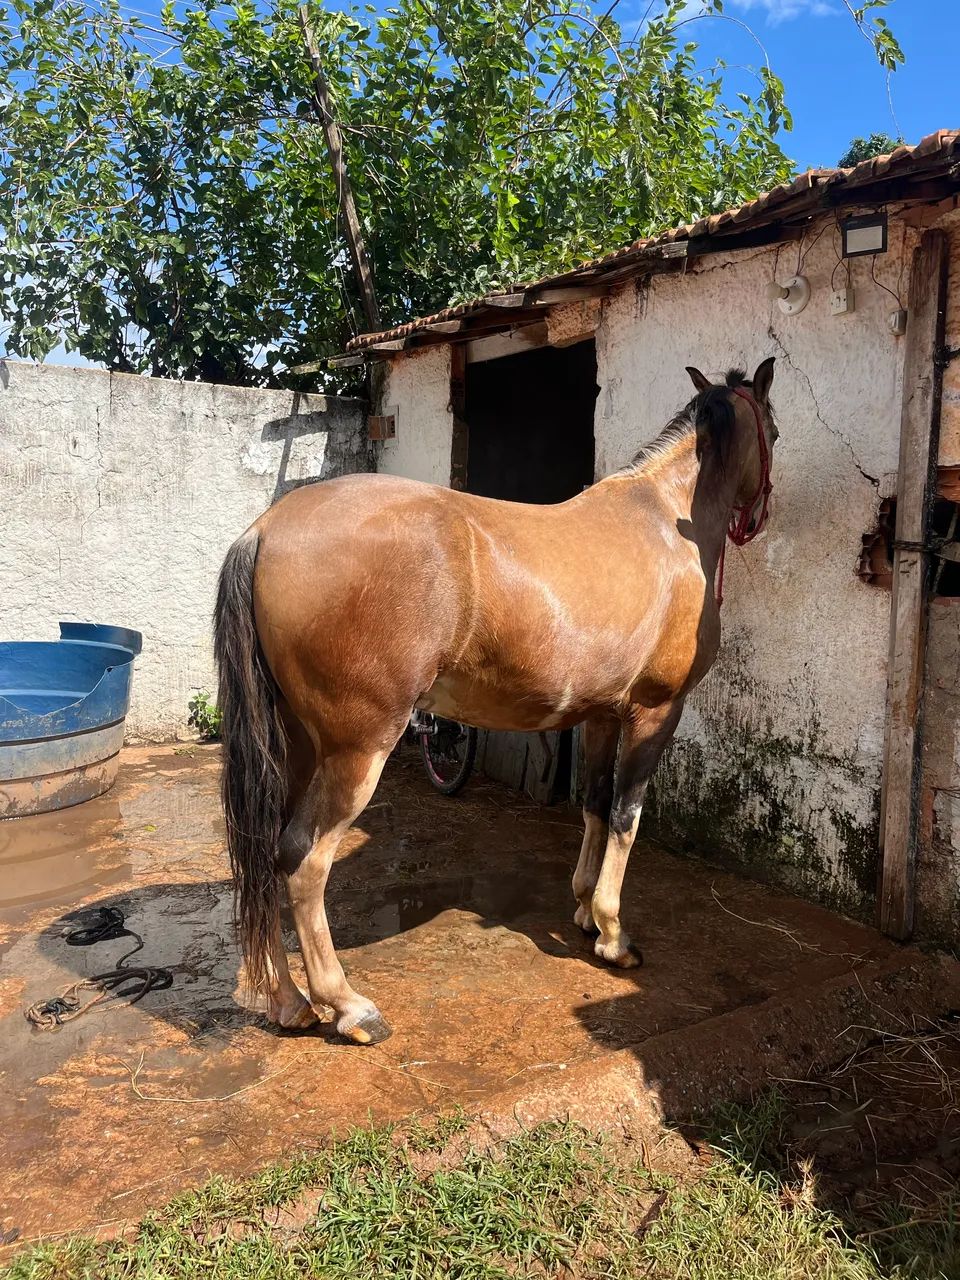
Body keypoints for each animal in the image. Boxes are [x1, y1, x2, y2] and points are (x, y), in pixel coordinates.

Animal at [214, 358, 777, 1045]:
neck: (667, 523)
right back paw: (348, 1007)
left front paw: (584, 910)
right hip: (356, 753)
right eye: (774, 426)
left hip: (296, 745)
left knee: (266, 854)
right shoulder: (654, 713)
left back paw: (289, 1001)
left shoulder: (601, 716)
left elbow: (593, 805)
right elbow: (626, 815)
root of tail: (266, 531)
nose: (761, 513)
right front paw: (614, 937)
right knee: (303, 862)